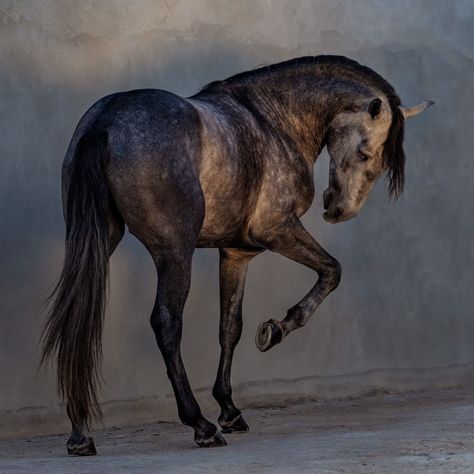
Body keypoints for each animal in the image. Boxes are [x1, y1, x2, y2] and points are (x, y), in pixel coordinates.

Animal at [41, 55, 434, 456]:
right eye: (364, 152)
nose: (339, 210)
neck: (272, 120)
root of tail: (105, 122)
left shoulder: (236, 253)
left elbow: (230, 326)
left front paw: (230, 409)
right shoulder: (275, 230)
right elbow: (332, 271)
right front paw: (276, 330)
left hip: (99, 243)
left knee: (80, 318)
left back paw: (80, 433)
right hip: (174, 252)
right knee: (167, 323)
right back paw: (200, 425)